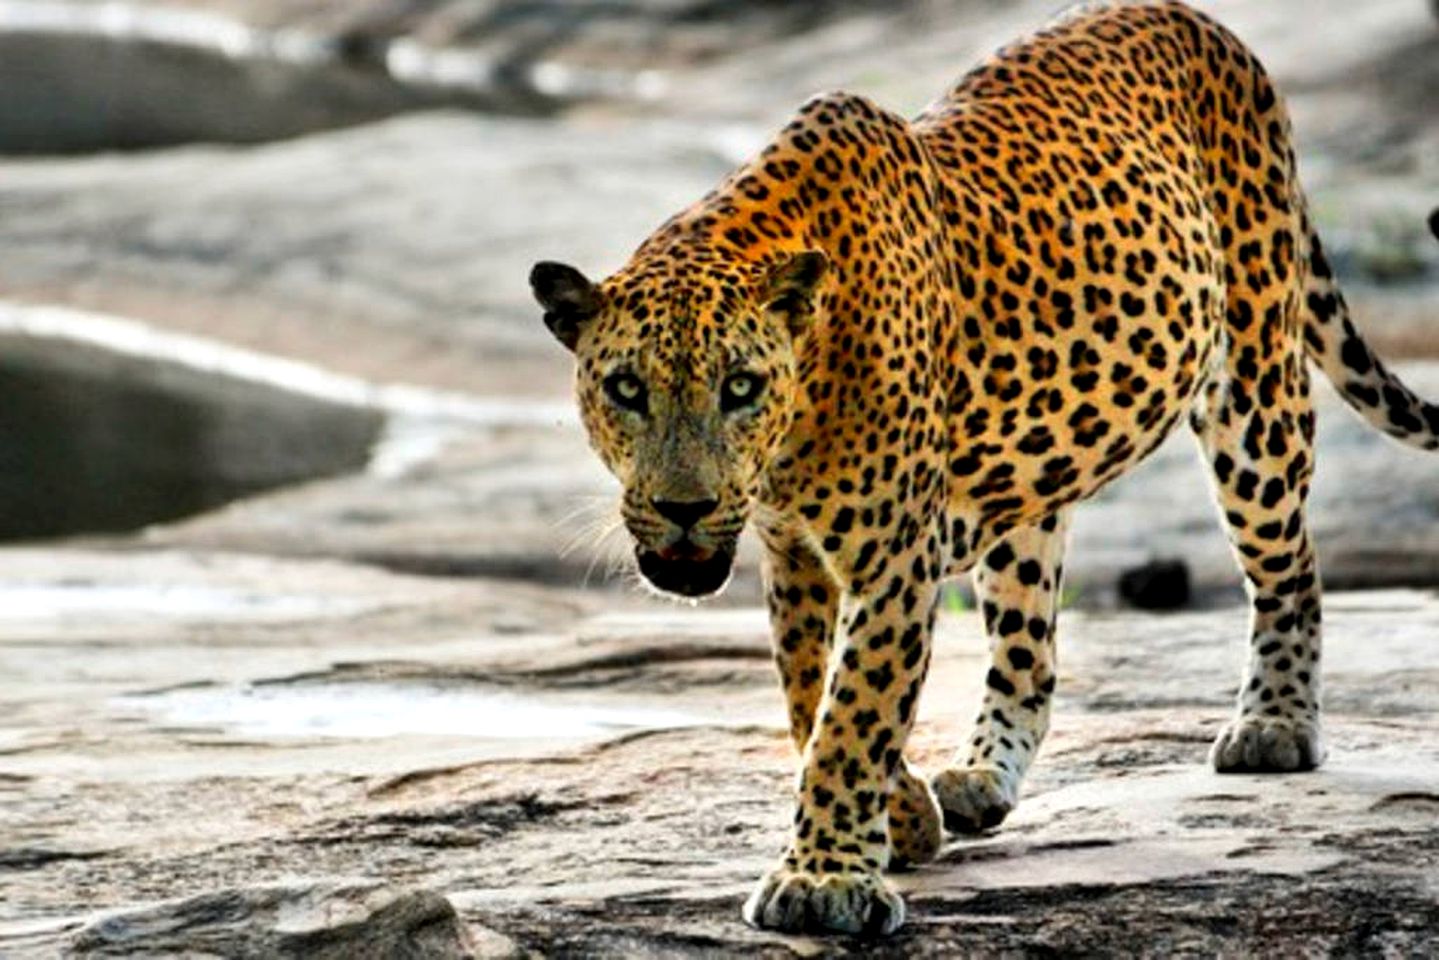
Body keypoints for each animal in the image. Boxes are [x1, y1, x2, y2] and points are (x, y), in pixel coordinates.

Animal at [529, 1, 1439, 938]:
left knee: (1288, 566)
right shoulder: (794, 556)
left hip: (1255, 397)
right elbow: (809, 698)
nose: (683, 506)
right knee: (1030, 648)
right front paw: (901, 821)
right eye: (626, 388)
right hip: (1028, 493)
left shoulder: (896, 556)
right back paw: (977, 778)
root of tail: (1199, 22)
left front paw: (823, 880)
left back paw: (1275, 724)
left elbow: (852, 712)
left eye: (739, 386)